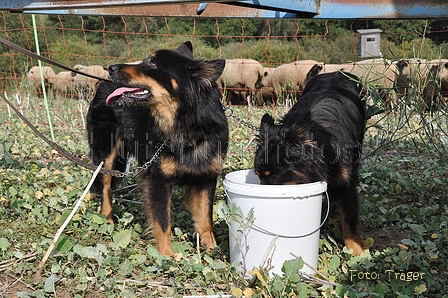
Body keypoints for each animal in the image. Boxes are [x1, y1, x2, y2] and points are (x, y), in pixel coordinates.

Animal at [86, 41, 229, 256]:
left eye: (151, 63)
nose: (110, 68)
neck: (185, 125)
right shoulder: (157, 180)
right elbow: (163, 222)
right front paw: (167, 255)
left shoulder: (206, 178)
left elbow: (205, 218)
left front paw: (211, 249)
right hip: (106, 156)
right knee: (105, 189)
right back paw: (107, 221)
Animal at [254, 71, 366, 255]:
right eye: (257, 176)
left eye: (275, 177)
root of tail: (336, 71)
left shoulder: (345, 180)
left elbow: (349, 214)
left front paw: (356, 250)